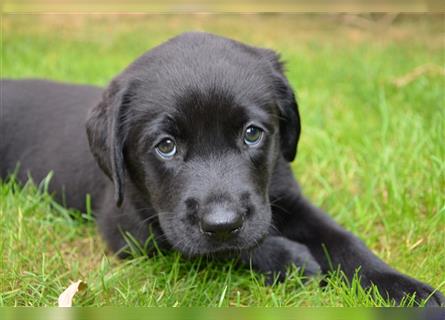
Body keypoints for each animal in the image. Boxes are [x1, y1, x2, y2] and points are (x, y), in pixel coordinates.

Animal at [1, 31, 442, 304]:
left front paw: (410, 294)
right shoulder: (130, 228)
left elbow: (344, 241)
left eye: (252, 134)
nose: (223, 222)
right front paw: (291, 259)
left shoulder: (283, 194)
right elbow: (215, 249)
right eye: (166, 146)